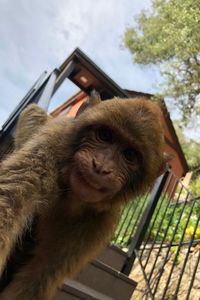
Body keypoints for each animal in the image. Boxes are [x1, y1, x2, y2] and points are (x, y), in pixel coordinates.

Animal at [0, 94, 167, 300]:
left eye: (129, 155)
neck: (71, 196)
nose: (101, 166)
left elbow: (39, 276)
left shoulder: (97, 225)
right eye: (104, 135)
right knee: (34, 111)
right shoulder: (51, 146)